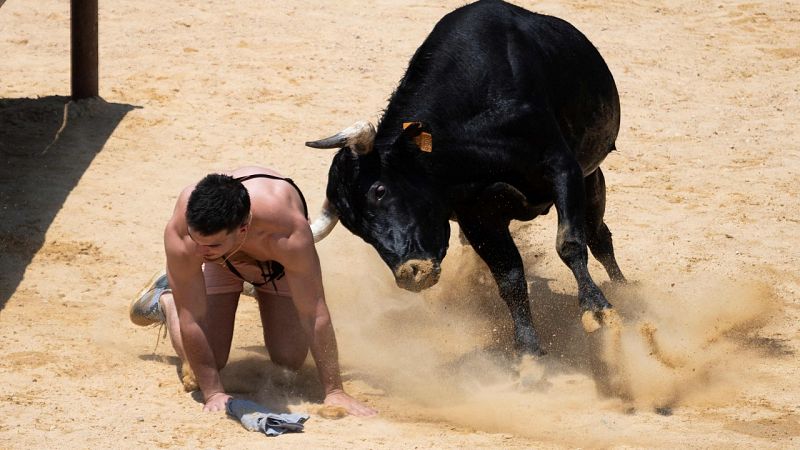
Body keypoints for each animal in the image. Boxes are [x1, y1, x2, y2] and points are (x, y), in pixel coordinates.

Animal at [306, 0, 624, 358]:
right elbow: (509, 278)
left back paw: (625, 291)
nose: (411, 274)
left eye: (379, 190)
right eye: (354, 227)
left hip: (591, 176)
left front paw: (598, 309)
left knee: (599, 238)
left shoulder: (562, 168)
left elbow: (569, 243)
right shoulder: (477, 216)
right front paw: (529, 351)